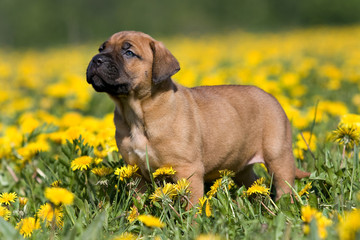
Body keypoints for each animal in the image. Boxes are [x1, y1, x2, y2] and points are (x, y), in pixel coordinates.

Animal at [86, 31, 310, 204]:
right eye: (101, 49)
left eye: (129, 52)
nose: (96, 60)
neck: (136, 112)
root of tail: (272, 96)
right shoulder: (135, 172)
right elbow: (138, 201)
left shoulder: (188, 170)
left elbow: (190, 206)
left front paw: (191, 225)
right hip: (240, 164)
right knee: (253, 181)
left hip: (278, 156)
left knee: (284, 186)